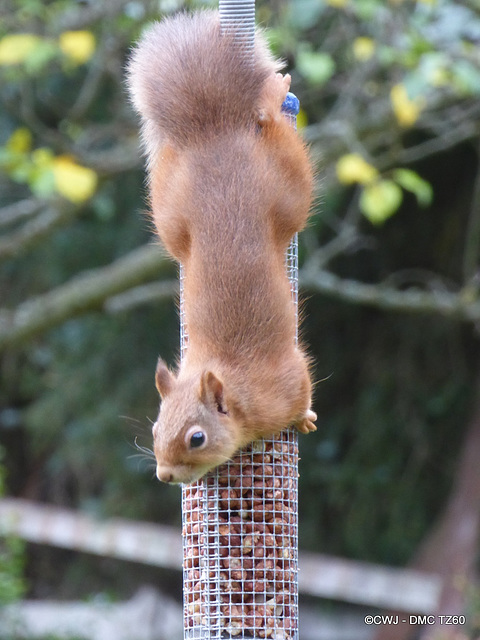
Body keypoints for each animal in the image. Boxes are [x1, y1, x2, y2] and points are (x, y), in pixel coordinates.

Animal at [125, 10, 316, 482]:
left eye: (197, 438)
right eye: (155, 428)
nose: (164, 475)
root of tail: (214, 135)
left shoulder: (287, 382)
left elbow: (302, 389)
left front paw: (305, 417)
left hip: (287, 184)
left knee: (272, 124)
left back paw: (275, 93)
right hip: (171, 206)